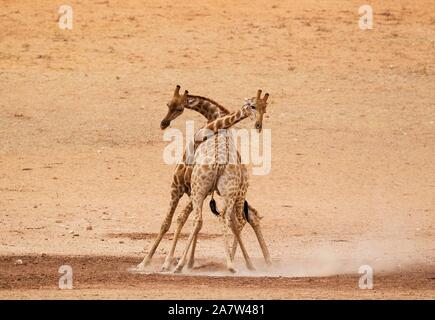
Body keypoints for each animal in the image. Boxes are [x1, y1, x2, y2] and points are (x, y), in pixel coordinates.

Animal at [138, 86, 270, 272]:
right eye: (168, 104)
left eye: (179, 108)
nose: (164, 123)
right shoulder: (197, 191)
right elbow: (186, 220)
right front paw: (184, 261)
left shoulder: (179, 186)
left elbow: (171, 221)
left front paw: (152, 262)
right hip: (230, 193)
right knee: (242, 217)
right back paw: (255, 262)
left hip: (209, 190)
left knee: (222, 220)